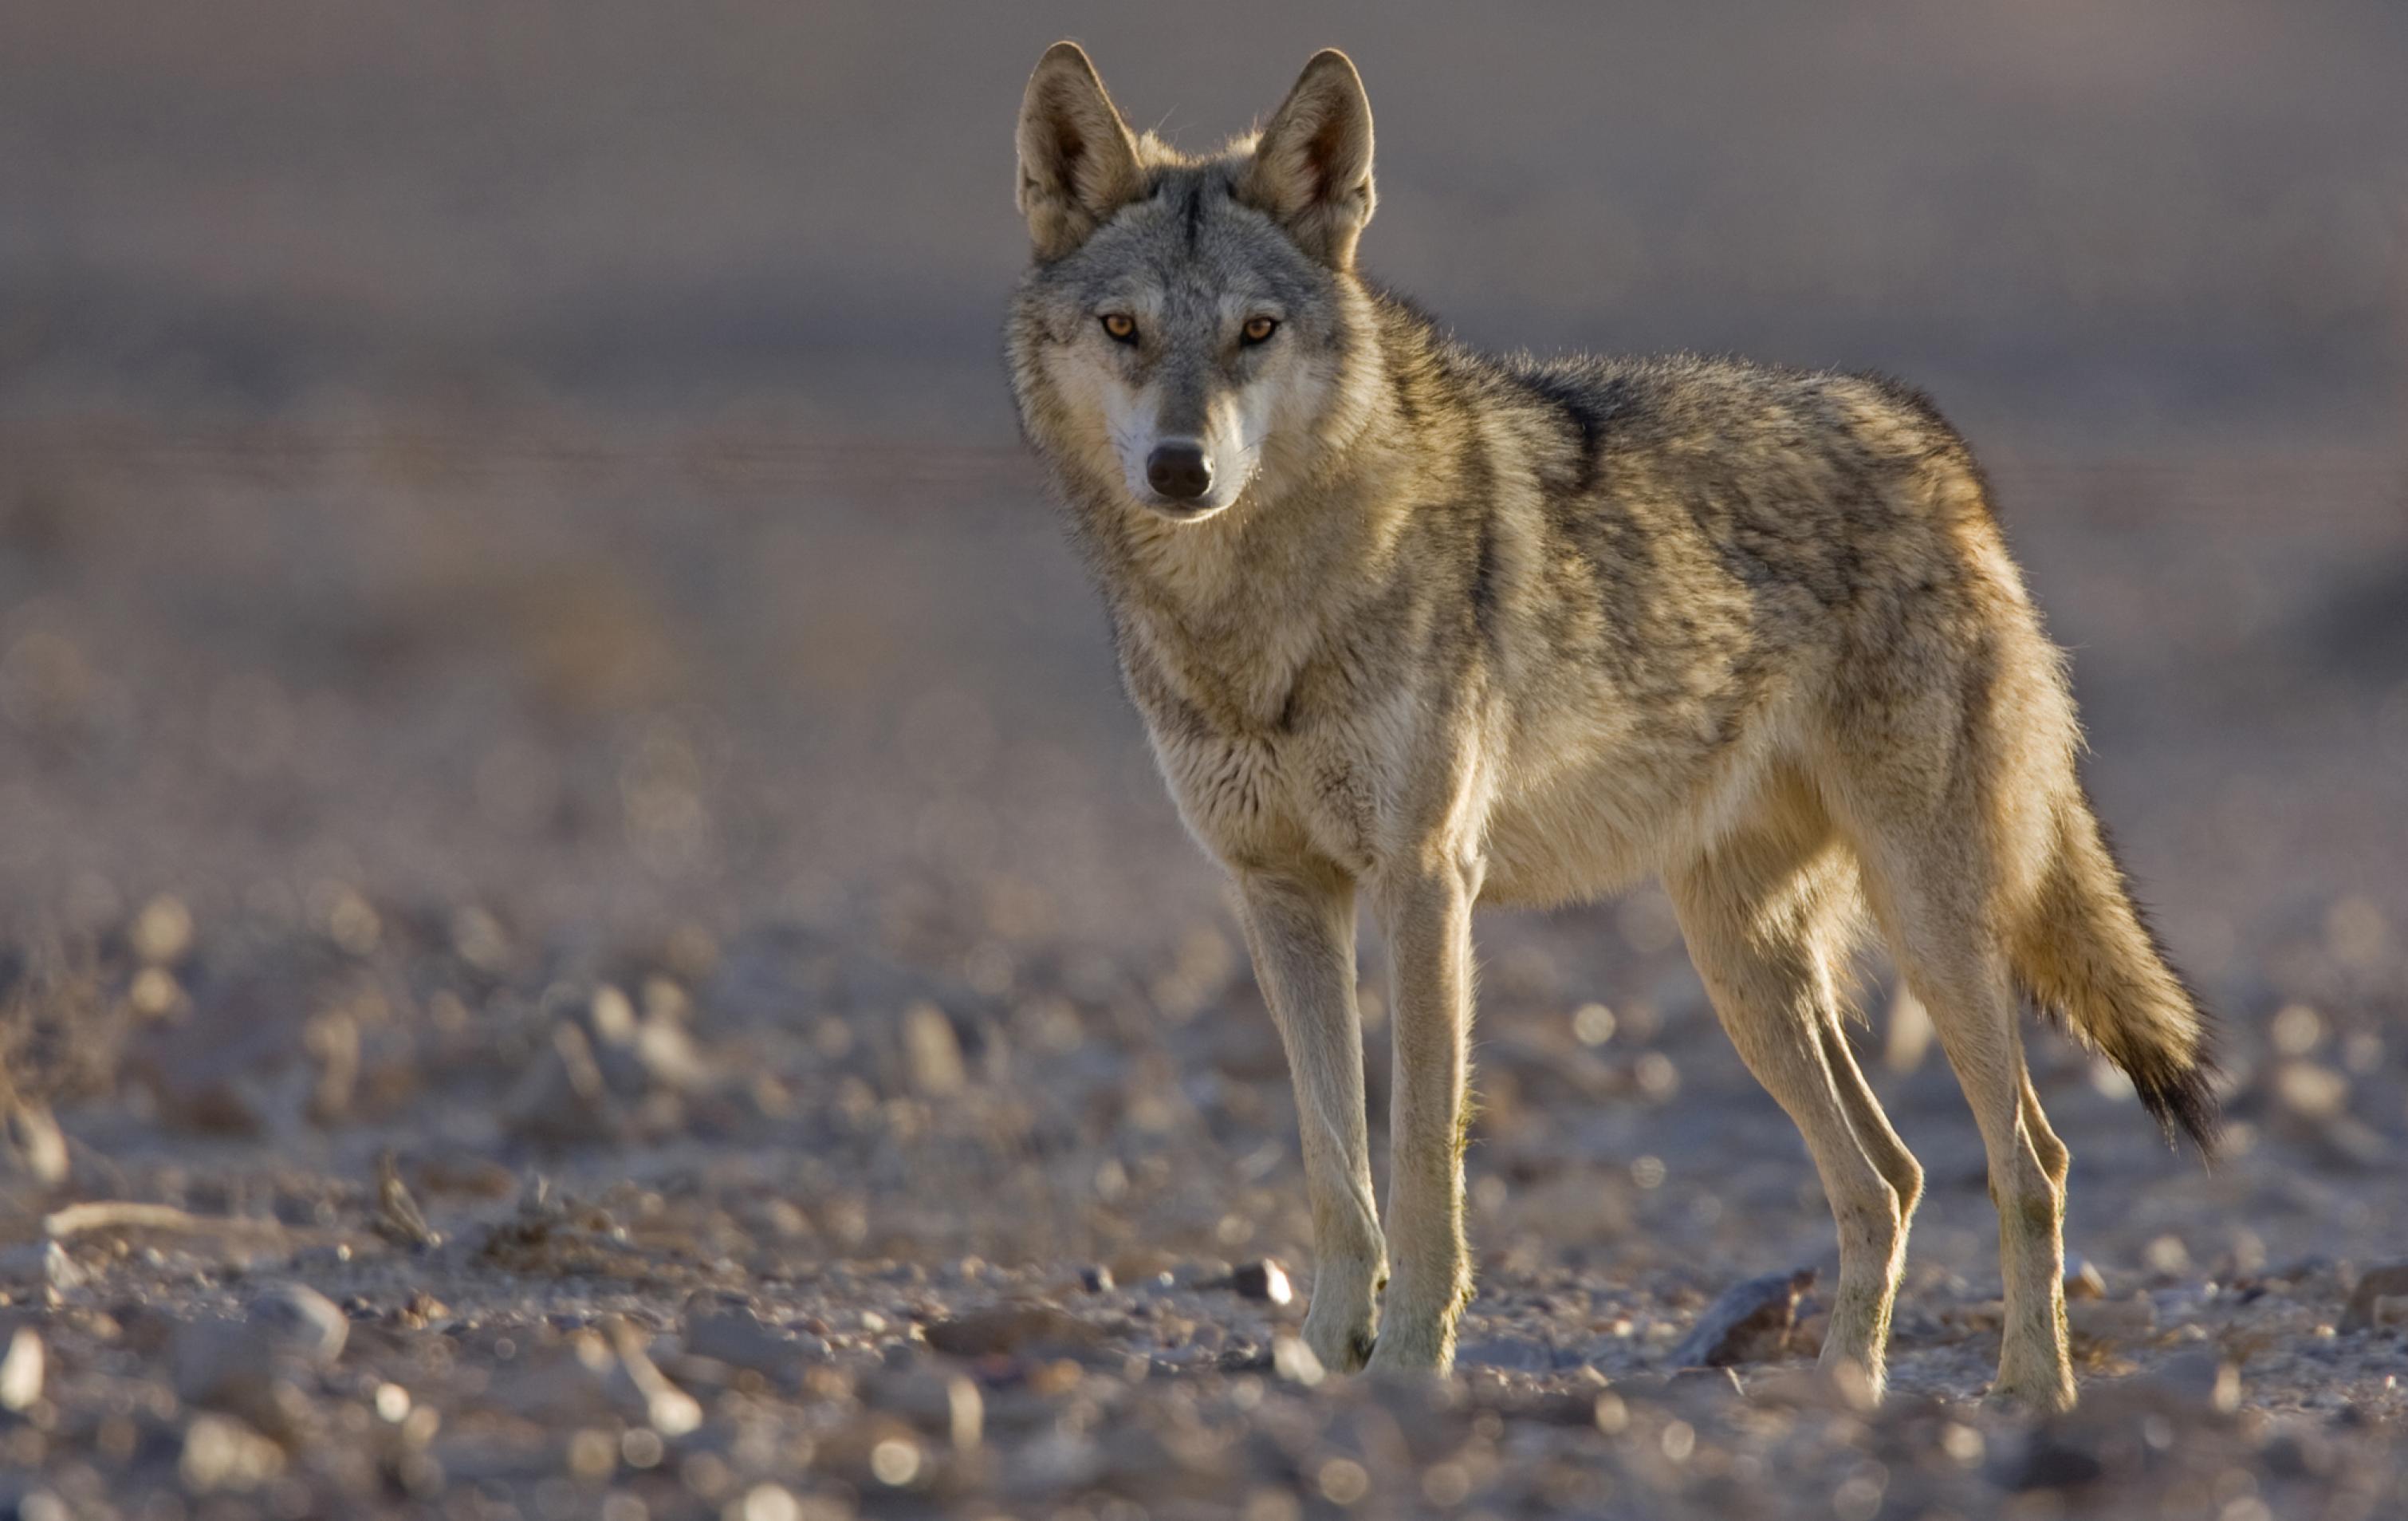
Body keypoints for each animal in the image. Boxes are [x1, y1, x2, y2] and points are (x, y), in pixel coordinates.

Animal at [1001, 38, 2215, 1417]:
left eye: (1254, 332)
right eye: (1124, 329)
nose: (1181, 469)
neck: (1252, 614)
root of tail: (1941, 455)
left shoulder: (1426, 882)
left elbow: (1421, 1168)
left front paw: (1411, 1364)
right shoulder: (1278, 892)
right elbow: (1332, 1166)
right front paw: (1324, 1352)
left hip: (1933, 927)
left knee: (2032, 1156)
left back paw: (2028, 1392)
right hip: (1744, 968)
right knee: (1890, 1173)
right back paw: (1841, 1392)